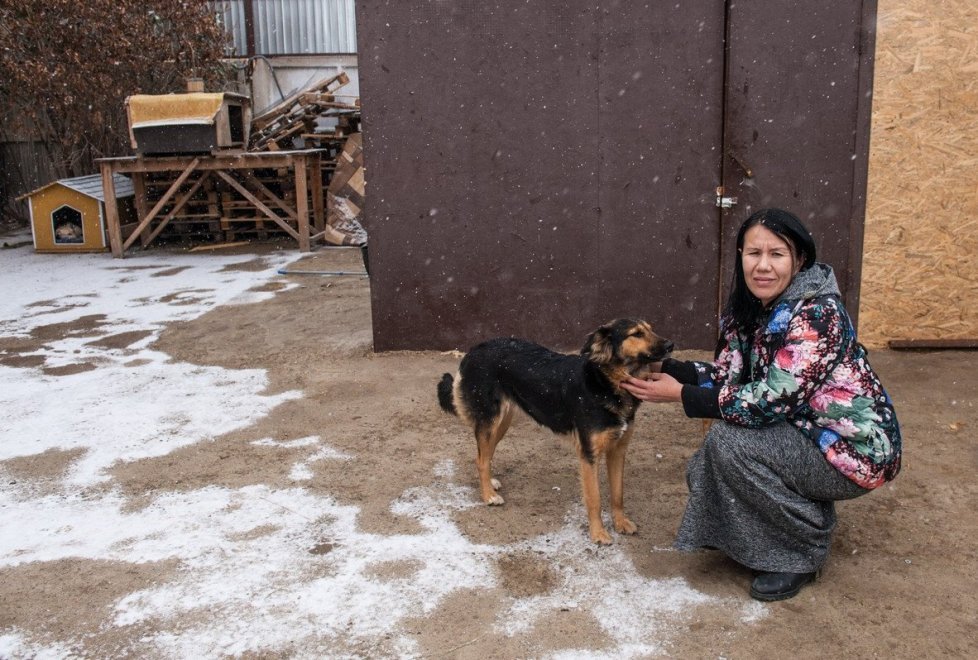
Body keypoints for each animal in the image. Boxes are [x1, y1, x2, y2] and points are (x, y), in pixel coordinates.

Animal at [436, 318, 672, 540]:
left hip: (502, 421)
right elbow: (594, 498)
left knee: (484, 455)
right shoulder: (589, 455)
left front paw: (621, 523)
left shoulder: (618, 450)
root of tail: (474, 349)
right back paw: (488, 496)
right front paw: (598, 534)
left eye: (650, 329)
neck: (606, 383)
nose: (671, 344)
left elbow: (618, 494)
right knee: (481, 459)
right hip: (490, 419)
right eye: (636, 334)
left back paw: (490, 484)